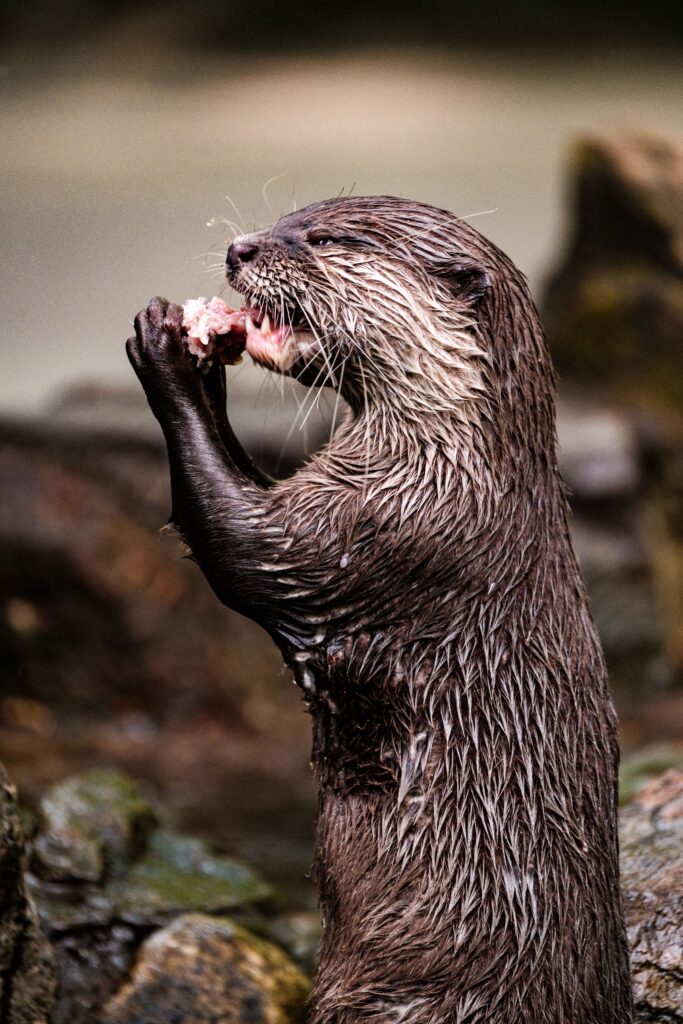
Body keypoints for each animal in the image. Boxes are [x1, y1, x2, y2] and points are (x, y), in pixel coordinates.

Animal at [126, 196, 634, 1023]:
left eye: (326, 238)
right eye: (292, 213)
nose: (239, 249)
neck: (455, 465)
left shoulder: (381, 532)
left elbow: (244, 547)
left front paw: (170, 349)